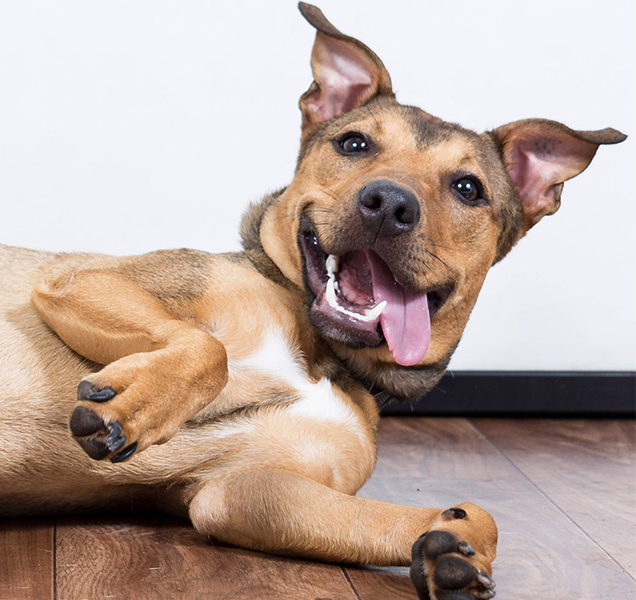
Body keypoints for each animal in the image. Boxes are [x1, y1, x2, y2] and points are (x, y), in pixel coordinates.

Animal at [0, 4, 628, 600]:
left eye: (468, 188)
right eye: (354, 144)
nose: (389, 204)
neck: (324, 354)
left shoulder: (245, 493)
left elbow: (471, 517)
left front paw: (450, 551)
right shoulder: (82, 282)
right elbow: (208, 349)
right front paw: (134, 405)